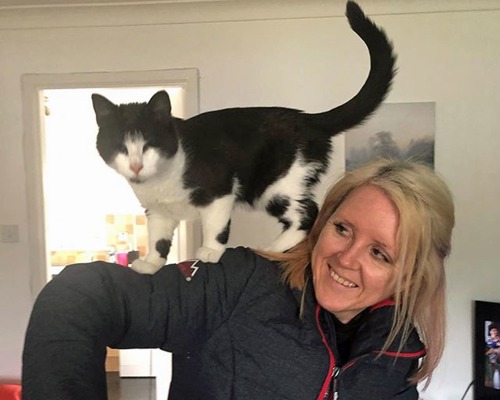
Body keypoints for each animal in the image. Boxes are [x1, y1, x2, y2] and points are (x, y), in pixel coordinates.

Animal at [90, 0, 394, 274]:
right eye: (120, 147)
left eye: (149, 145)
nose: (136, 165)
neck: (163, 179)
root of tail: (308, 119)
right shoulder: (158, 211)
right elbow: (158, 237)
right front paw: (151, 263)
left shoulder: (219, 189)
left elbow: (215, 225)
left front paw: (210, 251)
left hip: (276, 183)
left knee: (307, 212)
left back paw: (272, 247)